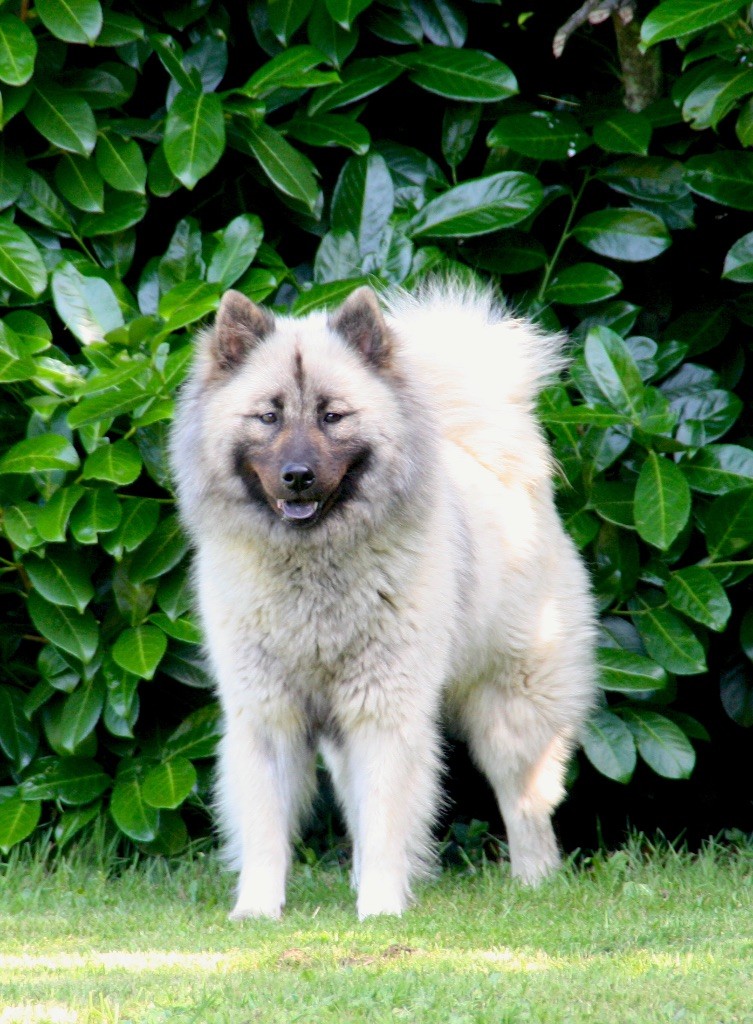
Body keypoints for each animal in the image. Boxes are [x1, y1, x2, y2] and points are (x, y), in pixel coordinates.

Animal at [169, 280, 594, 921]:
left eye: (332, 416)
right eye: (269, 416)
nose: (298, 475)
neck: (312, 569)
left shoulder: (385, 712)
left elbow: (390, 819)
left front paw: (381, 908)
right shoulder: (268, 714)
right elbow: (267, 827)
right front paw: (257, 910)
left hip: (511, 710)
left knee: (526, 803)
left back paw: (534, 882)